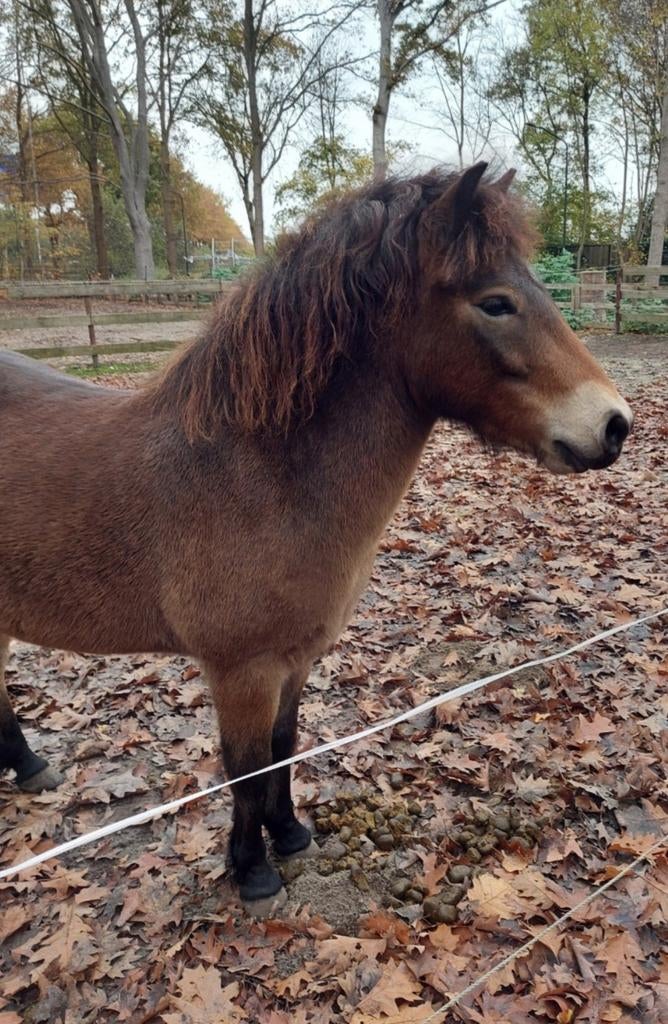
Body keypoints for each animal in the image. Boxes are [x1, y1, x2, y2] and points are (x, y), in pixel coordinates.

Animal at [0, 164, 632, 913]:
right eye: (497, 302)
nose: (614, 424)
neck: (257, 476)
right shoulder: (241, 671)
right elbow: (244, 769)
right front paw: (251, 870)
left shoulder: (294, 660)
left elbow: (284, 746)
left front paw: (290, 834)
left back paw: (30, 767)